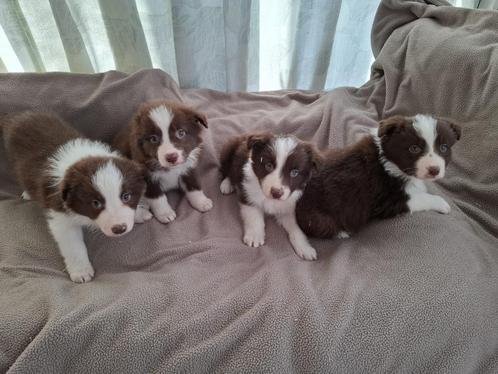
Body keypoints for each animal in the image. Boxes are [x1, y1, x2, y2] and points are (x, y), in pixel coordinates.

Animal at [1, 112, 146, 282]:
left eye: (126, 196)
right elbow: (73, 246)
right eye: (95, 203)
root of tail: (21, 115)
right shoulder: (60, 216)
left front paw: (140, 213)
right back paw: (29, 193)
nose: (119, 229)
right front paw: (81, 270)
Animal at [219, 132, 320, 260]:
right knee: (226, 171)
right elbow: (254, 216)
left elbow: (295, 227)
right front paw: (255, 236)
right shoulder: (247, 194)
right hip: (227, 151)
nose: (276, 193)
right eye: (268, 166)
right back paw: (226, 184)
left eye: (295, 172)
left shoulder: (286, 207)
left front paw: (305, 247)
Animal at [294, 112, 462, 238]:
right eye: (414, 148)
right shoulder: (389, 200)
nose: (434, 170)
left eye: (444, 148)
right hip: (319, 218)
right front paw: (442, 204)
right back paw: (342, 232)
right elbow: (421, 198)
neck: (388, 161)